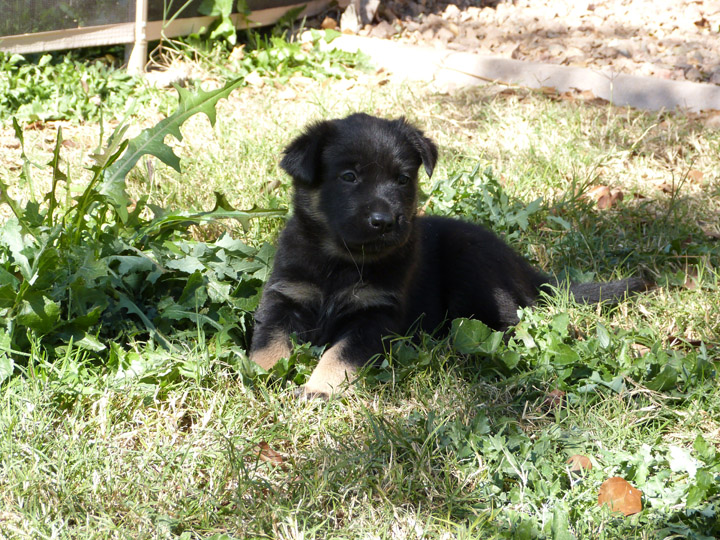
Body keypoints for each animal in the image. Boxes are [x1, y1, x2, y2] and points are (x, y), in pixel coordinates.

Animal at [249, 114, 648, 396]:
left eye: (402, 179)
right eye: (348, 176)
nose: (385, 221)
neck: (340, 261)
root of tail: (518, 261)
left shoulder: (376, 314)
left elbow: (340, 353)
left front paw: (319, 388)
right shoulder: (284, 297)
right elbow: (267, 342)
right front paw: (261, 375)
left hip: (472, 268)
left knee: (511, 320)